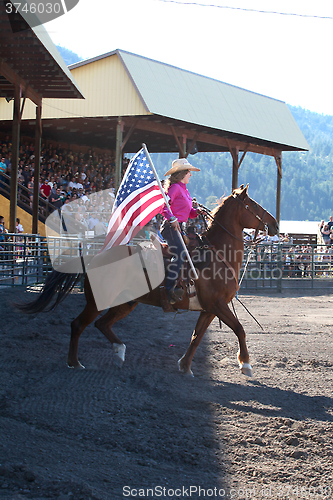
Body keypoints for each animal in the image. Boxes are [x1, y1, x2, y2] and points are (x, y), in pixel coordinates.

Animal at [18, 186, 278, 376]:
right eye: (253, 204)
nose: (275, 224)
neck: (217, 253)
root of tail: (94, 256)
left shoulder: (209, 309)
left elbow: (196, 337)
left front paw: (185, 366)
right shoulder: (217, 305)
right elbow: (239, 329)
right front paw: (246, 364)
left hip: (126, 303)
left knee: (102, 324)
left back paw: (119, 351)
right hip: (98, 301)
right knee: (78, 324)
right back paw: (75, 363)